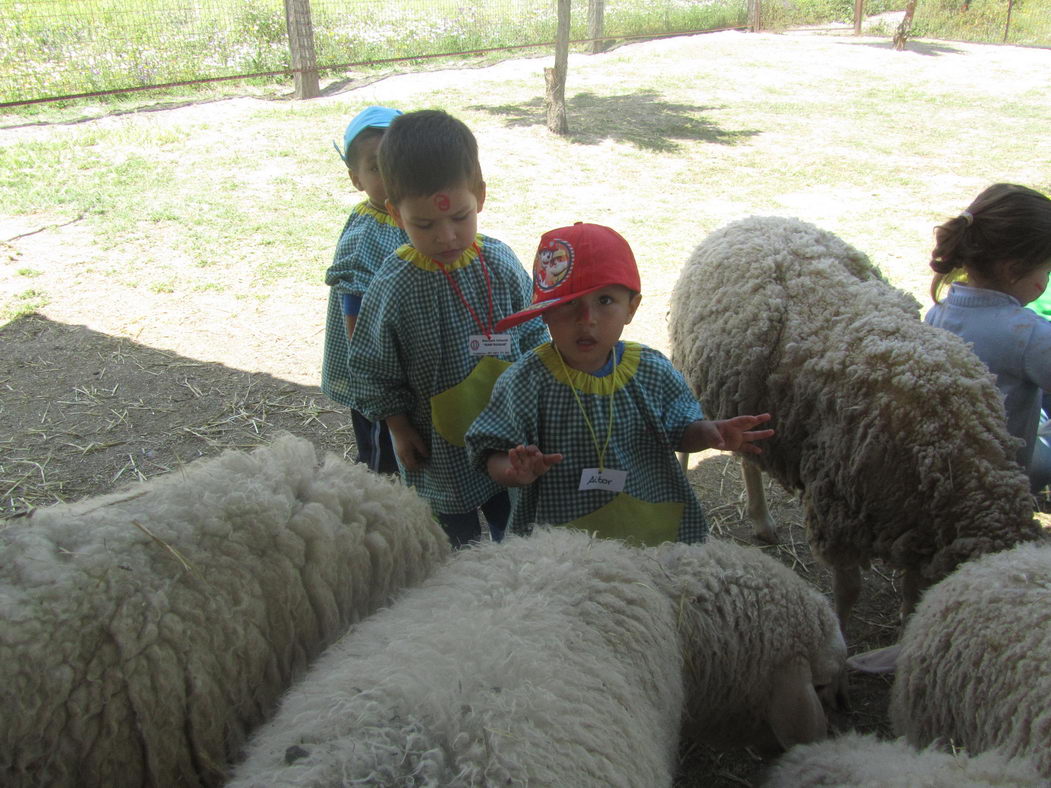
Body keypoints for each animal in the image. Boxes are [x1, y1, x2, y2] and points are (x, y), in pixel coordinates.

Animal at [668, 214, 1038, 630]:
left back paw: (763, 521)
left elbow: (913, 590)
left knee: (749, 458)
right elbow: (848, 592)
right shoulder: (838, 512)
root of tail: (754, 219)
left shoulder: (915, 531)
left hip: (748, 402)